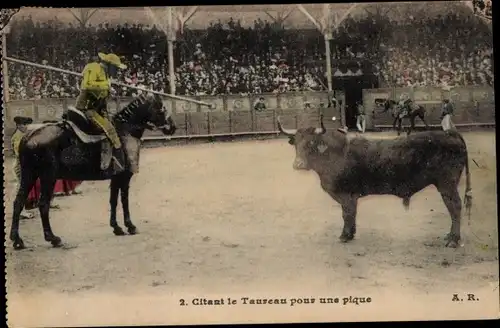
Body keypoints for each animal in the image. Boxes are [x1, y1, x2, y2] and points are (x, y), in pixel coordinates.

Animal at [9, 93, 178, 250]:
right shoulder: (124, 177)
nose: (172, 127)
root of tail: (27, 136)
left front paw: (116, 227)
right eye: (161, 108)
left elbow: (113, 200)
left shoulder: (115, 178)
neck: (125, 131)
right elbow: (124, 200)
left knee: (18, 202)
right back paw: (53, 238)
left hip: (29, 175)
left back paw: (17, 240)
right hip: (47, 177)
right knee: (43, 204)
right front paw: (130, 226)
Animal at [278, 114, 472, 247]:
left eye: (311, 143)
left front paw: (345, 235)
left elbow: (347, 214)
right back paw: (450, 237)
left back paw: (453, 240)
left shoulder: (347, 195)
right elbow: (351, 214)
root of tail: (450, 133)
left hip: (447, 184)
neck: (336, 153)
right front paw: (351, 233)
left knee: (455, 207)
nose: (298, 164)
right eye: (296, 143)